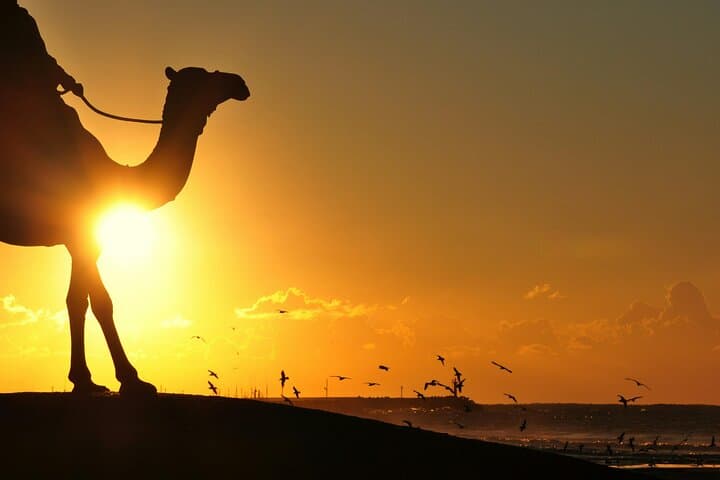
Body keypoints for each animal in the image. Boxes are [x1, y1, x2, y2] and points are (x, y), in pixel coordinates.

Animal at [0, 66, 250, 395]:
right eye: (205, 75)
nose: (239, 83)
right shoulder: (81, 232)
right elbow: (99, 302)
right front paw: (131, 379)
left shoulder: (83, 238)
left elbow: (78, 301)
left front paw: (86, 379)